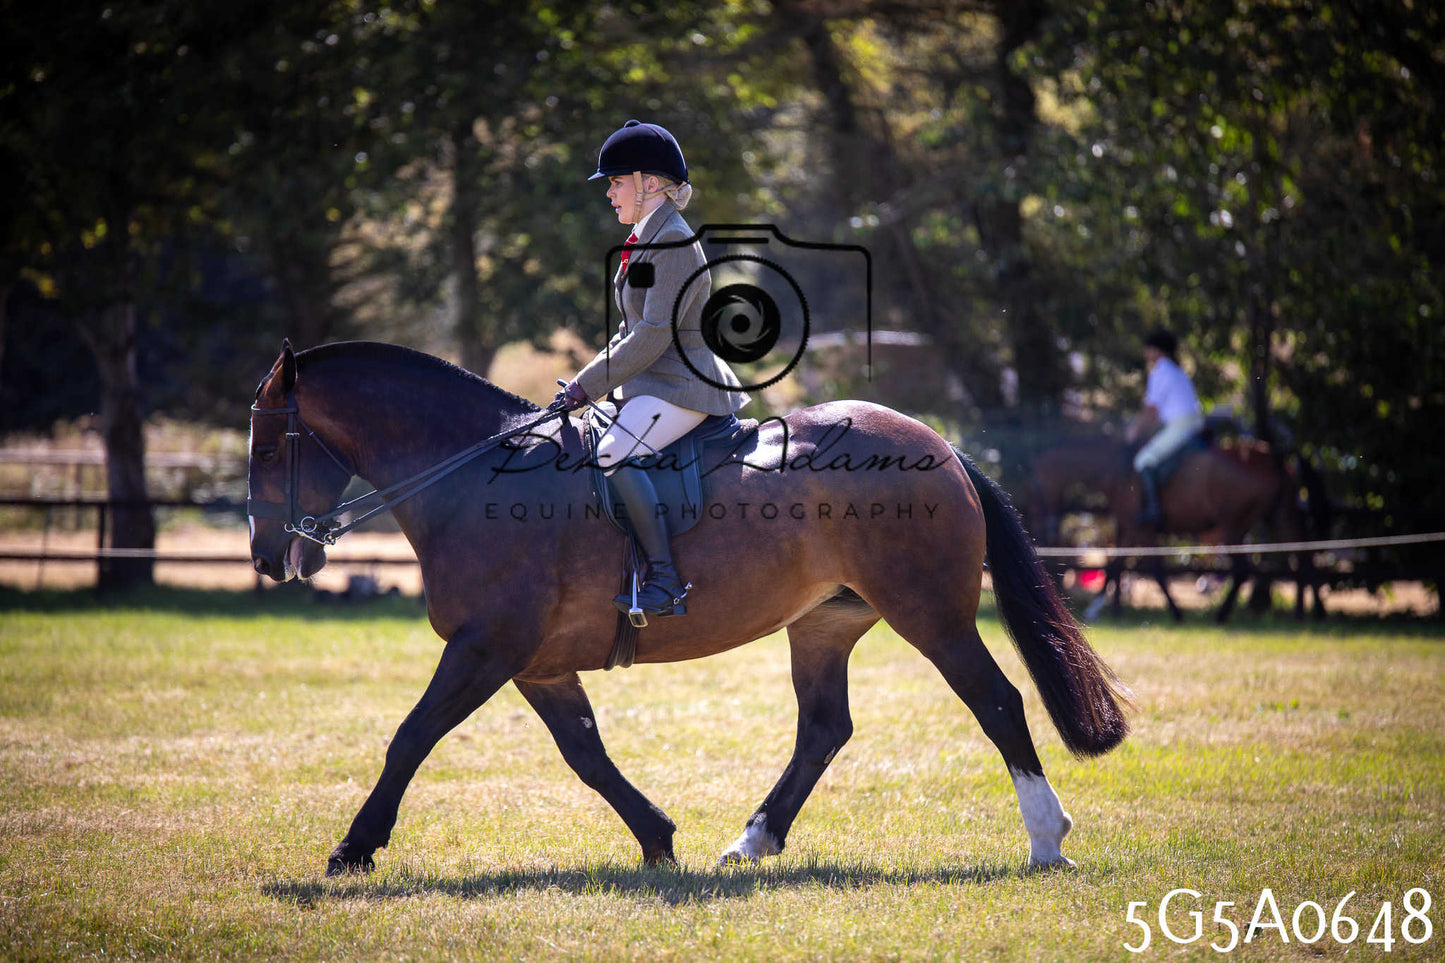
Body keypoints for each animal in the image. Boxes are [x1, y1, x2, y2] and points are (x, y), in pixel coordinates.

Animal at [247, 340, 1130, 875]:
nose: (265, 555)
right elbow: (586, 753)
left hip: (931, 615)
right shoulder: (534, 663)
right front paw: (657, 838)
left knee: (996, 700)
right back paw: (753, 838)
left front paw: (354, 847)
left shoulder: (484, 646)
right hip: (823, 621)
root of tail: (941, 446)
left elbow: (411, 735)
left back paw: (1046, 839)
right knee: (824, 728)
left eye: (268, 444)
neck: (473, 476)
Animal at [1024, 436, 1320, 623]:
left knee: (1243, 569)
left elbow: (1144, 570)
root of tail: (1273, 459)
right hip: (1278, 516)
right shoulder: (1132, 529)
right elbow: (1119, 566)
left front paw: (1174, 612)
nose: (1042, 524)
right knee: (1303, 555)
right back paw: (1311, 613)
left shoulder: (1139, 528)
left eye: (1037, 488)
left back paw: (1222, 615)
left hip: (1233, 525)